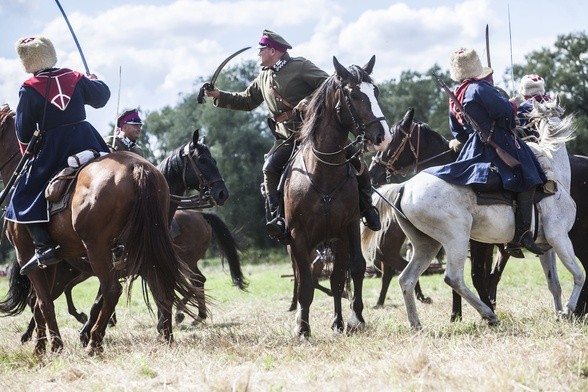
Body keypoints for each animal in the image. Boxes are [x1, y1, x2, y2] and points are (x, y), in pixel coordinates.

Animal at [0, 105, 204, 356]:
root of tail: (138, 168)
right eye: (202, 160)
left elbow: (45, 302)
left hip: (96, 250)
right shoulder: (46, 262)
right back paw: (165, 336)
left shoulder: (28, 255)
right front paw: (47, 345)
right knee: (161, 284)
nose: (221, 193)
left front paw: (50, 347)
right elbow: (42, 302)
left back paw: (94, 341)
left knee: (112, 290)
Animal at [284, 56, 390, 336]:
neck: (323, 172)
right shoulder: (298, 237)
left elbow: (351, 271)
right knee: (302, 277)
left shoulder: (347, 228)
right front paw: (303, 329)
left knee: (338, 277)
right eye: (354, 94)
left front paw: (352, 319)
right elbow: (306, 283)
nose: (382, 137)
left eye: (375, 92)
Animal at [382, 97, 584, 328]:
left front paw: (559, 313)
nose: (379, 163)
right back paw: (488, 314)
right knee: (453, 278)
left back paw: (416, 323)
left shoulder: (546, 245)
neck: (554, 175)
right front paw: (568, 309)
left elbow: (554, 283)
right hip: (456, 239)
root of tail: (404, 187)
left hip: (427, 245)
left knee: (406, 278)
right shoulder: (559, 237)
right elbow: (578, 275)